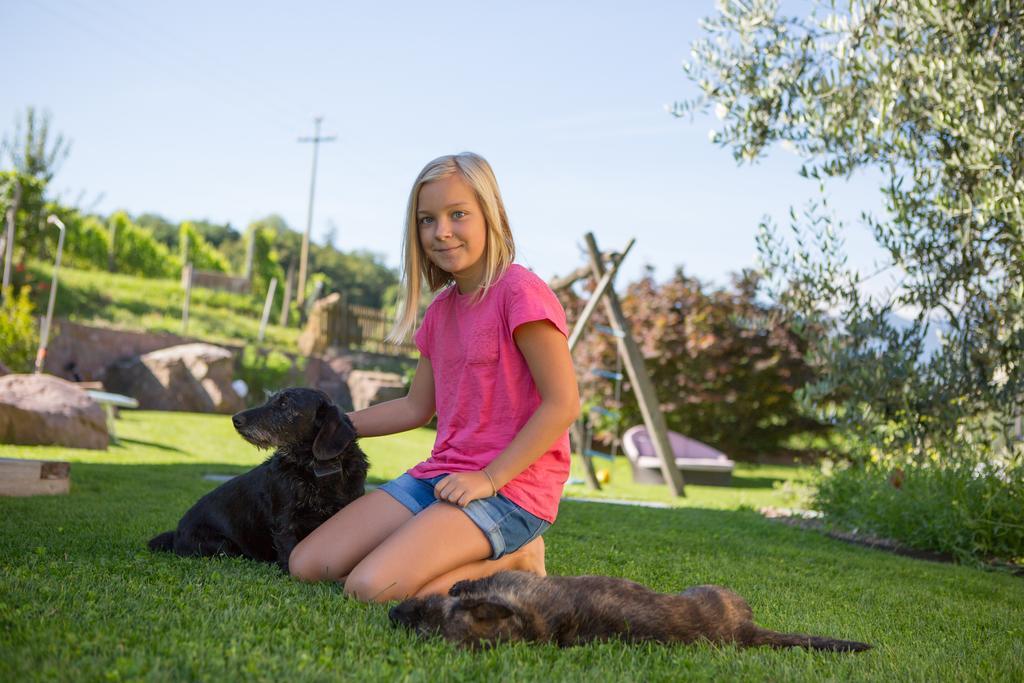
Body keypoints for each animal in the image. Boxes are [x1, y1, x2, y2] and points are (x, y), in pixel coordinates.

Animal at [146, 389, 366, 573]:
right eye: (270, 400)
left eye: (284, 404)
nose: (235, 419)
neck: (314, 467)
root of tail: (176, 533)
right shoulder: (285, 522)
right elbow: (289, 553)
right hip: (222, 544)